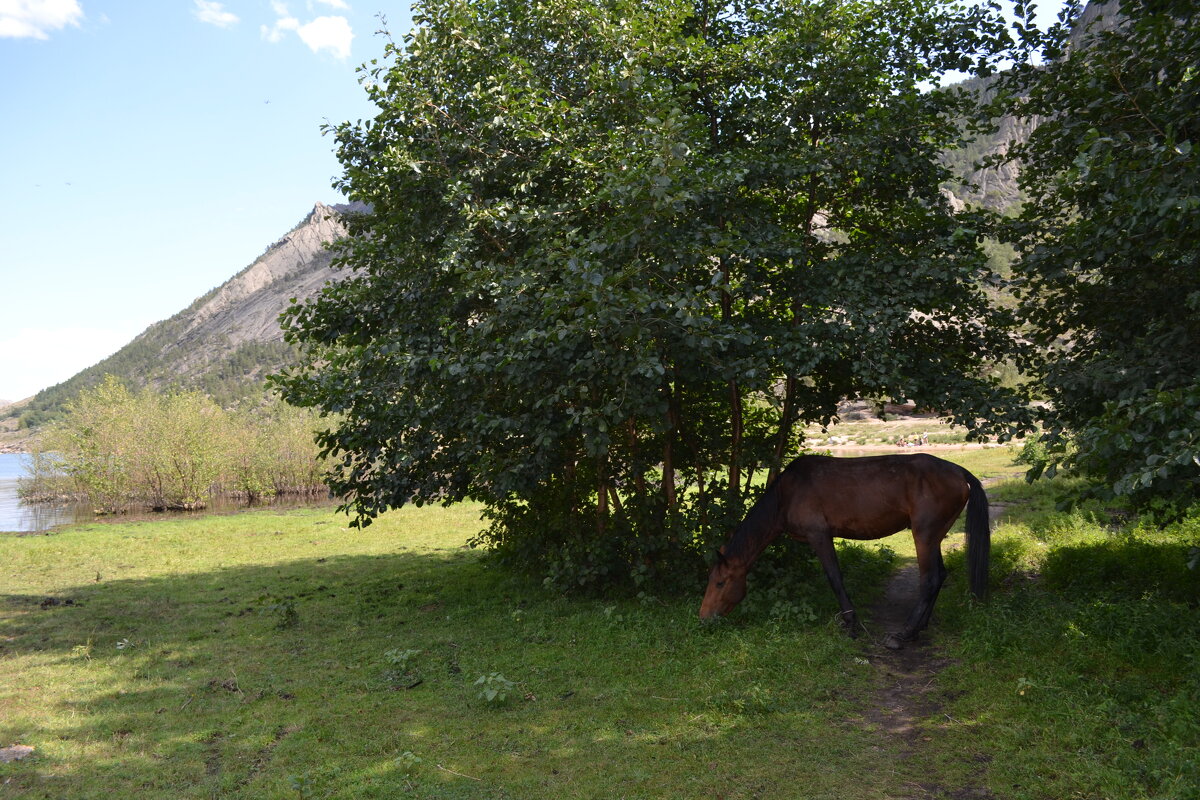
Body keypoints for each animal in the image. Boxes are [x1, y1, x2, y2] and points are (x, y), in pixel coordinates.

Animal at [700, 453, 988, 647]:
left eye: (720, 582)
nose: (704, 618)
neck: (787, 494)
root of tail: (958, 472)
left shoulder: (819, 536)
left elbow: (835, 578)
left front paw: (851, 624)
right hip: (935, 536)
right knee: (940, 576)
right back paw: (919, 627)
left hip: (924, 535)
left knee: (929, 580)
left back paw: (903, 634)